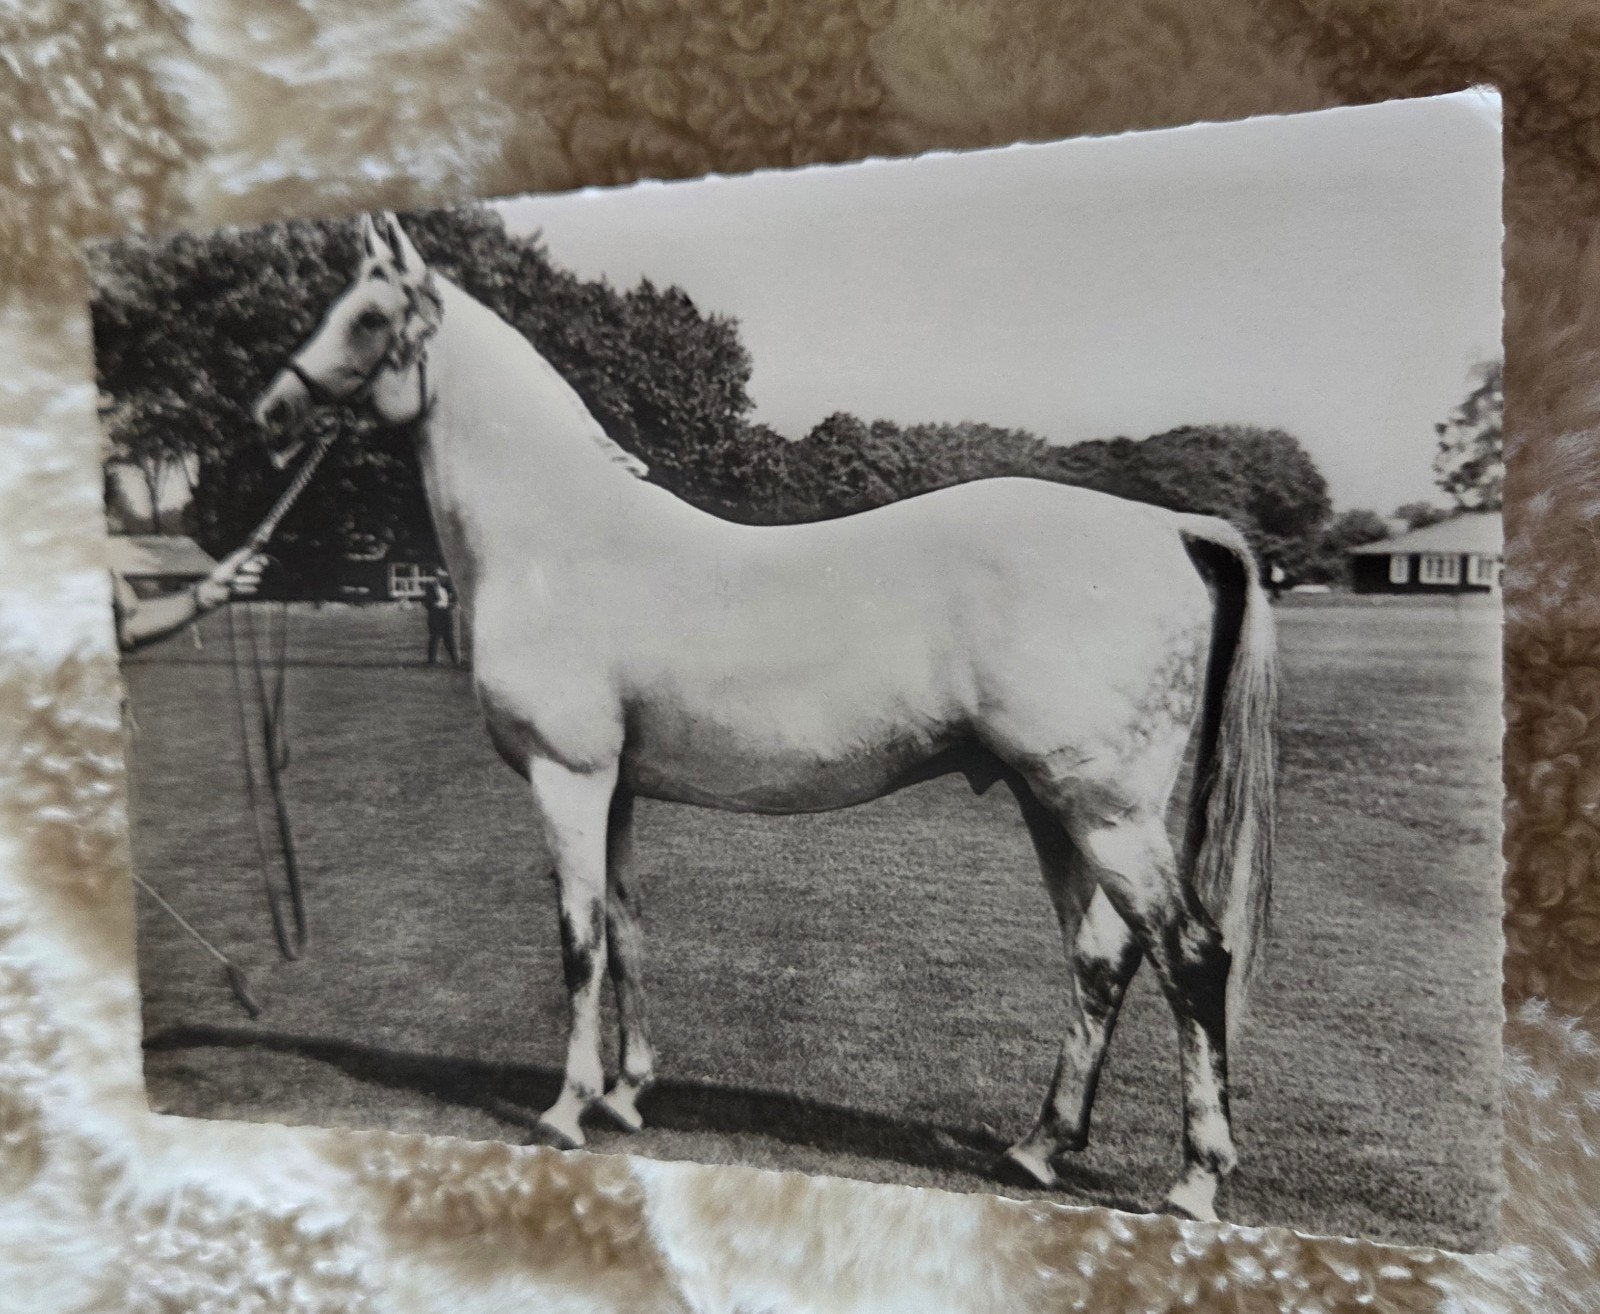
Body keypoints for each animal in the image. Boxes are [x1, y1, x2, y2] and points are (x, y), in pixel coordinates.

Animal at [251, 212, 1277, 1221]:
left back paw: (1194, 1180)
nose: (270, 415)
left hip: (1105, 810)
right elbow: (627, 924)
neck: (556, 541)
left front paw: (567, 1108)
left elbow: (580, 938)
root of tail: (1168, 527)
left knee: (1190, 956)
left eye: (369, 317)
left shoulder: (567, 777)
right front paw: (627, 1094)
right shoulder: (617, 788)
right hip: (1053, 803)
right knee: (1101, 956)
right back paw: (1038, 1148)